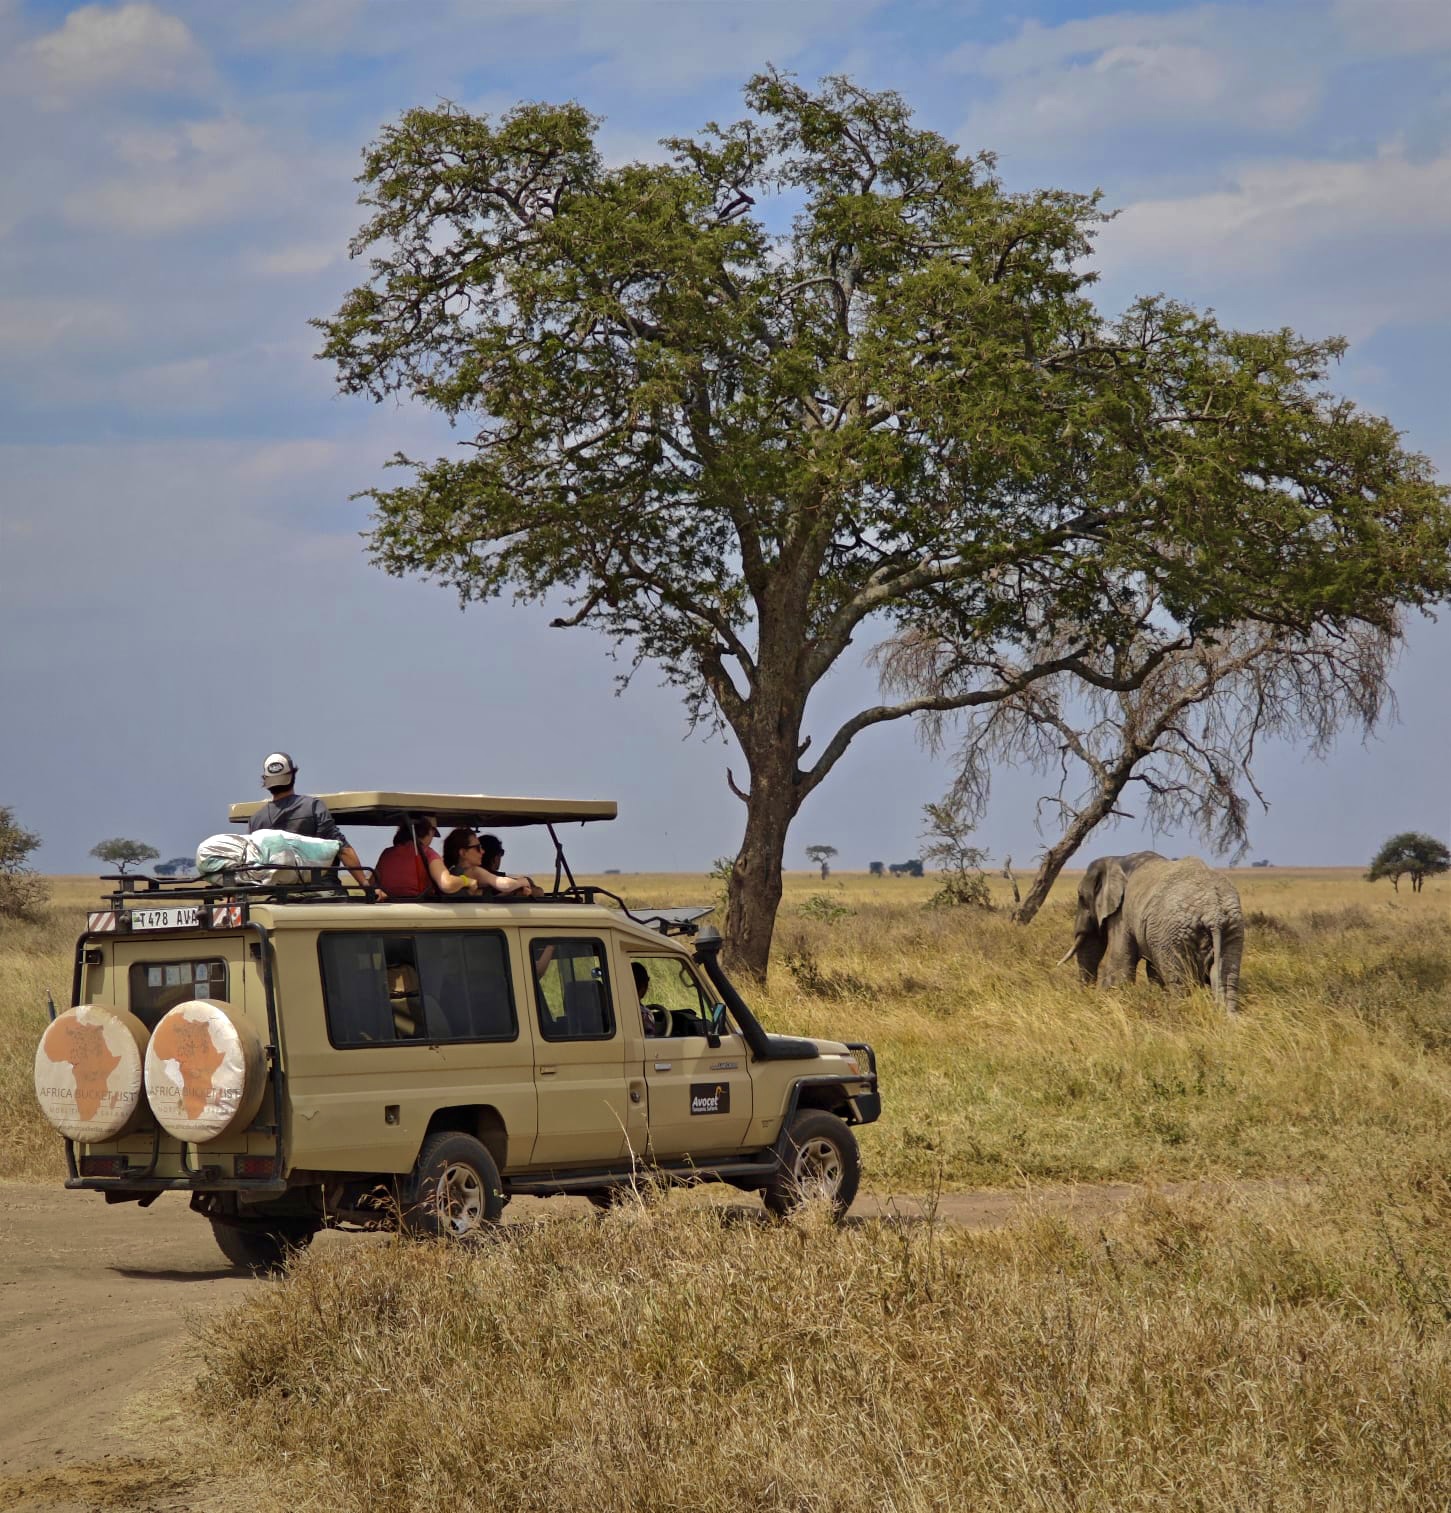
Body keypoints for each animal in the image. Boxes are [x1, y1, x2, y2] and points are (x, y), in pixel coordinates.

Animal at [1053, 853, 1246, 1016]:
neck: (1116, 859)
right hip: (1231, 927)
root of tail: (1213, 911)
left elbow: (1119, 965)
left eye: (1080, 897)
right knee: (1225, 977)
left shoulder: (1122, 915)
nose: (1086, 995)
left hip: (1175, 931)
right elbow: (1152, 971)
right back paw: (1228, 1019)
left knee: (1180, 981)